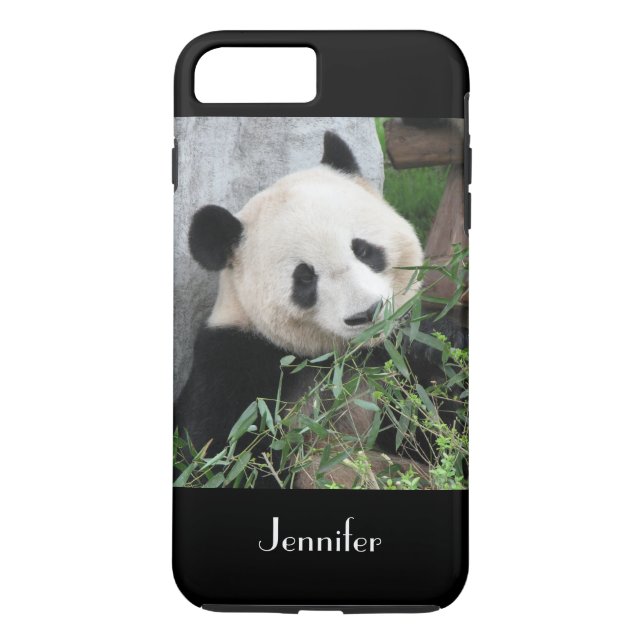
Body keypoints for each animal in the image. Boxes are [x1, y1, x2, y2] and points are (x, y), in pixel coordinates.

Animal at [174, 131, 463, 488]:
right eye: (305, 278)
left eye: (363, 250)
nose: (366, 314)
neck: (336, 358)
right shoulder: (233, 364)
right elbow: (226, 459)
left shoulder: (389, 368)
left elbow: (436, 422)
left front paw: (433, 346)